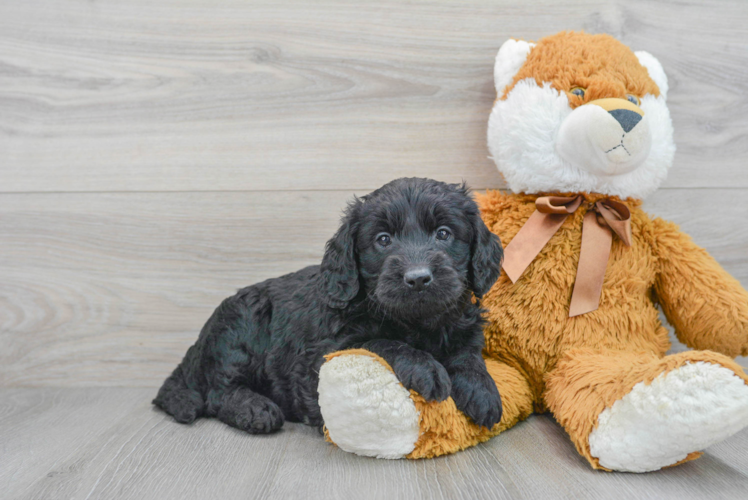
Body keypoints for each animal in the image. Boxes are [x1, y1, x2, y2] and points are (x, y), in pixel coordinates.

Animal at [153, 179, 502, 434]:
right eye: (383, 239)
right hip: (243, 324)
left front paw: (482, 391)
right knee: (216, 391)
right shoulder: (321, 356)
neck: (417, 323)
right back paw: (254, 409)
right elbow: (381, 342)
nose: (417, 278)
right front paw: (426, 368)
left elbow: (468, 356)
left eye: (444, 234)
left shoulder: (464, 327)